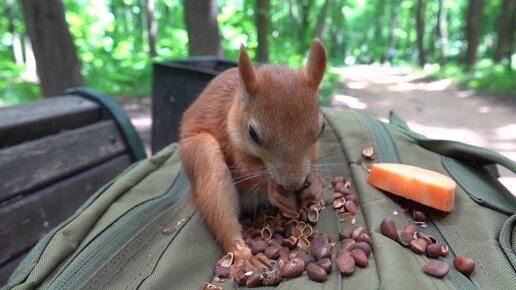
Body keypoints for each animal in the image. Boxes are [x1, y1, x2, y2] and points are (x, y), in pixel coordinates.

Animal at [179, 39, 326, 262]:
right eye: (252, 133)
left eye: (322, 128)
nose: (293, 182)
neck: (233, 108)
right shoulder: (230, 141)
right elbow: (246, 171)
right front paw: (272, 188)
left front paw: (315, 183)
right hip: (202, 153)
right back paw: (244, 256)